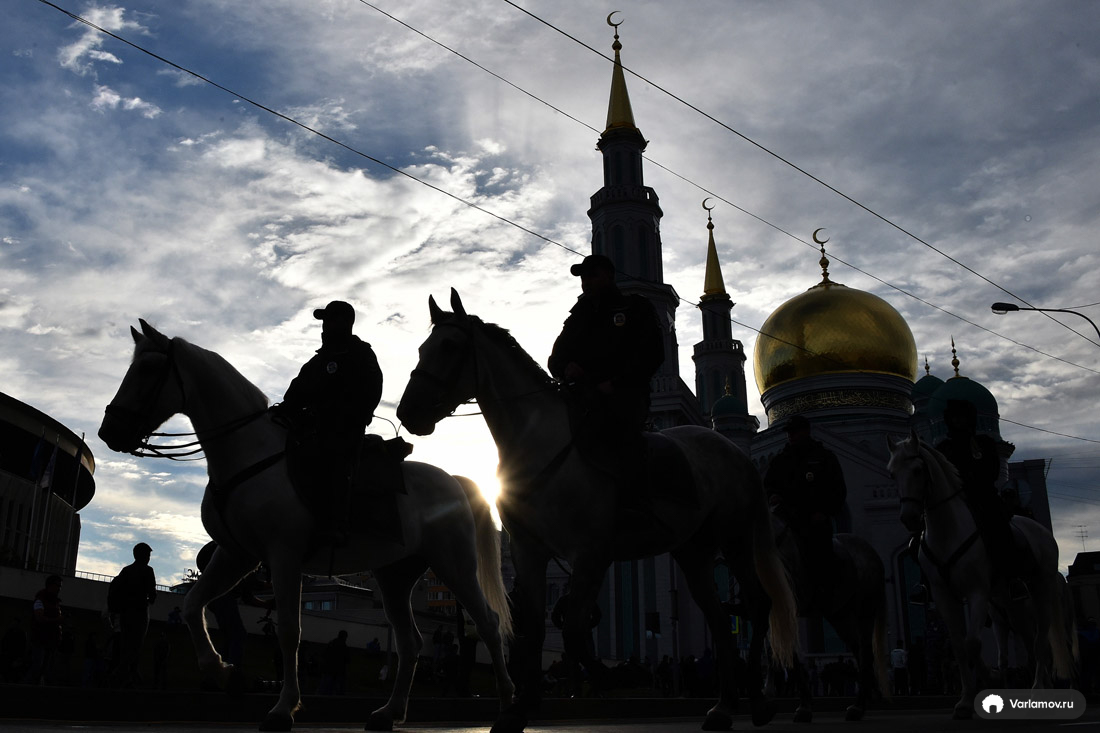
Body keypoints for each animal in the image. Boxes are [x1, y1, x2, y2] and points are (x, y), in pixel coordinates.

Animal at [96, 319, 512, 730]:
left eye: (148, 368)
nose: (108, 432)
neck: (248, 454)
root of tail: (455, 481)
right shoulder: (236, 555)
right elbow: (192, 605)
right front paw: (224, 673)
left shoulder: (283, 557)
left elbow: (288, 632)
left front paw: (283, 708)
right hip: (394, 577)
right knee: (411, 642)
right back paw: (389, 712)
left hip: (455, 566)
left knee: (488, 625)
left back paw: (506, 706)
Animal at [400, 288, 796, 726]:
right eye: (421, 348)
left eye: (449, 346)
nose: (407, 412)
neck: (545, 444)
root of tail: (735, 451)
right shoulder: (528, 551)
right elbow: (534, 627)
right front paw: (521, 708)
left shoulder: (590, 553)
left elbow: (574, 627)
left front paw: (610, 678)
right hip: (694, 552)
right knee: (719, 618)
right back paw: (723, 706)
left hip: (737, 539)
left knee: (758, 605)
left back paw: (758, 701)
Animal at [884, 424, 1073, 717]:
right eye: (892, 472)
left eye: (917, 470)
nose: (909, 518)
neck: (948, 530)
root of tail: (1040, 531)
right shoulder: (943, 595)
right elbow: (960, 645)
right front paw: (967, 698)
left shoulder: (977, 592)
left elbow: (972, 643)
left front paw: (985, 682)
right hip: (1009, 604)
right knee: (1026, 640)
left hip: (1040, 590)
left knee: (1041, 639)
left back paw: (1038, 687)